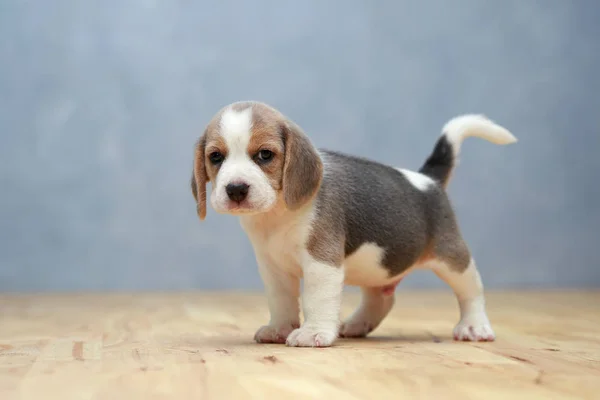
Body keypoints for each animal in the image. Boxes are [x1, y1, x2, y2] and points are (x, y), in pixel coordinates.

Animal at [191, 101, 516, 346]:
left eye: (265, 155)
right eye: (216, 157)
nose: (235, 189)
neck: (278, 213)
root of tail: (429, 180)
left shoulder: (322, 263)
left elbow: (316, 299)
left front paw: (313, 333)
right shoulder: (274, 269)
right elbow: (281, 301)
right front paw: (280, 328)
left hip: (453, 259)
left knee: (471, 292)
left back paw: (474, 326)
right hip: (378, 268)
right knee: (381, 301)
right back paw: (357, 324)